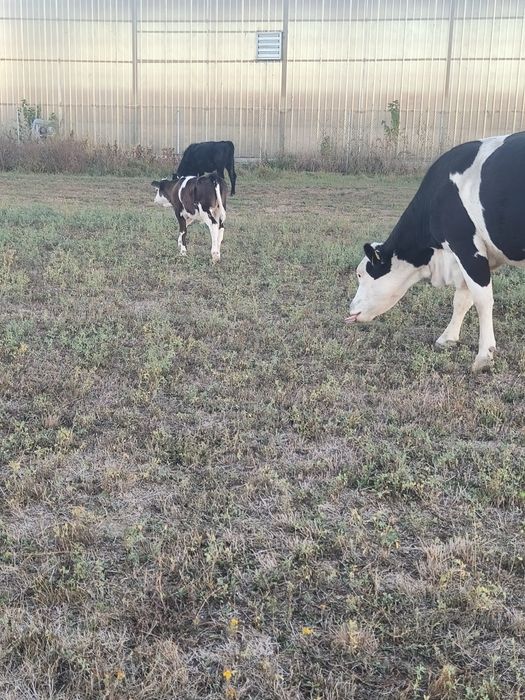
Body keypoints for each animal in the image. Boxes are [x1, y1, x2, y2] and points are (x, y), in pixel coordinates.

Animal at [346, 132, 525, 372]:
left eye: (360, 274)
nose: (350, 309)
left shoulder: (467, 247)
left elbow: (482, 300)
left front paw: (483, 357)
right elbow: (462, 299)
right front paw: (447, 338)